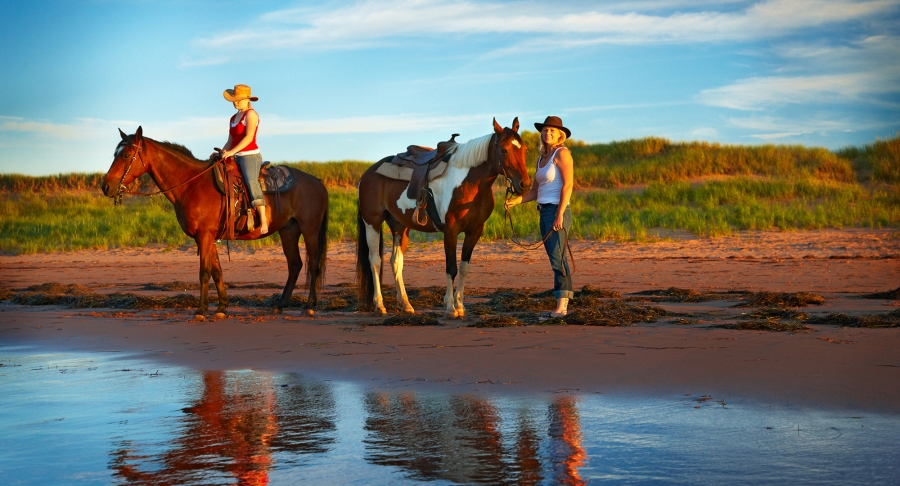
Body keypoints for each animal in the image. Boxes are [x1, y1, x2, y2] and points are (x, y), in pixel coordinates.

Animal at [103, 126, 326, 318]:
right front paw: (221, 307)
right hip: (288, 231)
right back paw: (280, 305)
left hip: (310, 230)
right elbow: (217, 271)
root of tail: (318, 182)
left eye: (125, 155)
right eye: (114, 154)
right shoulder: (206, 237)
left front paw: (201, 310)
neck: (191, 184)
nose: (106, 186)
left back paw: (308, 306)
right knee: (295, 265)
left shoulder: (205, 235)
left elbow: (204, 272)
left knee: (313, 264)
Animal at [356, 117, 532, 316]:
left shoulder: (475, 231)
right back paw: (379, 305)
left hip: (400, 226)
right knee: (375, 261)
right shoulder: (451, 230)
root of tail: (368, 173)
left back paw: (405, 303)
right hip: (372, 222)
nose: (524, 185)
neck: (469, 183)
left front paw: (460, 305)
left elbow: (464, 268)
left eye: (525, 149)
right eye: (504, 150)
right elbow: (451, 268)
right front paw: (450, 307)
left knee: (396, 262)